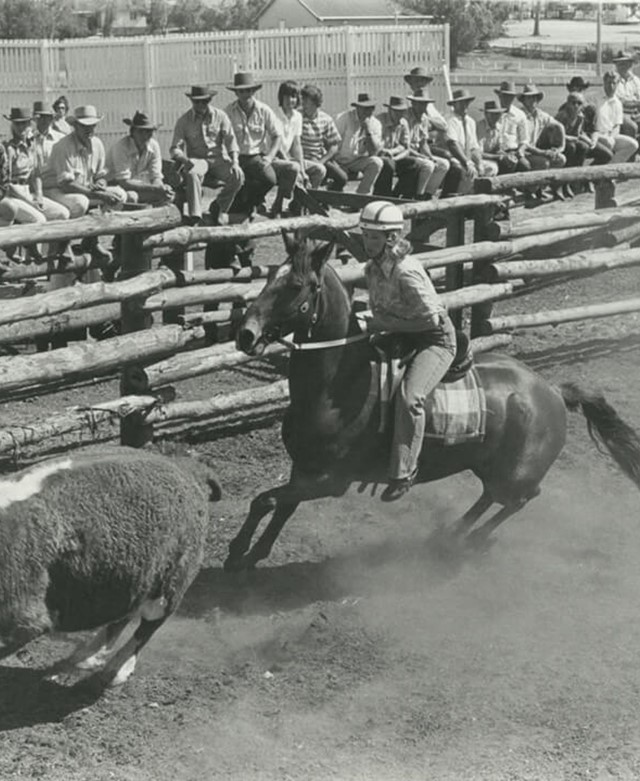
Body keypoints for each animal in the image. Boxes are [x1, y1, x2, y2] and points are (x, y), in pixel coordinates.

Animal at [0, 445, 220, 688]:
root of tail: (184, 468)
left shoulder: (22, 619)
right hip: (133, 575)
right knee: (123, 615)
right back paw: (86, 657)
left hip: (172, 580)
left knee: (148, 625)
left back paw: (116, 670)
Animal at [224, 236, 640, 571]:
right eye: (268, 278)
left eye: (295, 285)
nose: (246, 334)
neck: (340, 385)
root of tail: (553, 391)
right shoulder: (304, 469)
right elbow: (280, 506)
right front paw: (253, 553)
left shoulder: (332, 479)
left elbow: (264, 501)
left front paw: (237, 550)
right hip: (487, 465)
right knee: (491, 496)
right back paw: (452, 534)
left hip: (516, 473)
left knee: (520, 498)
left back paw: (469, 540)